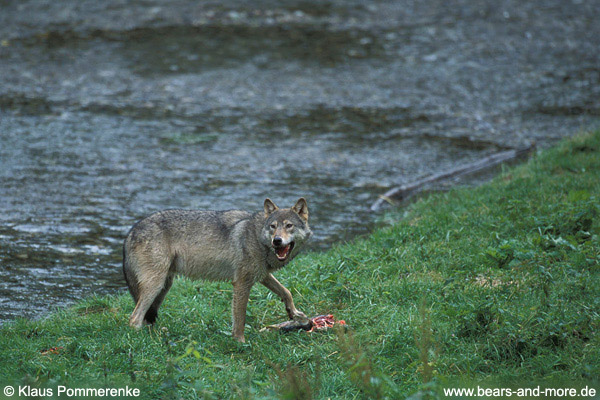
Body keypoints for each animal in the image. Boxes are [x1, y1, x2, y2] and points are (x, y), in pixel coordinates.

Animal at [120, 197, 310, 340]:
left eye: (289, 226)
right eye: (273, 226)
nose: (277, 240)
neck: (257, 237)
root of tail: (131, 232)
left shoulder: (261, 275)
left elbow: (286, 291)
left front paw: (294, 313)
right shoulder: (241, 283)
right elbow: (240, 319)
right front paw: (240, 342)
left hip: (164, 286)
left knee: (147, 318)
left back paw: (157, 336)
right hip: (156, 285)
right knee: (134, 319)